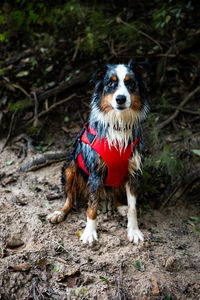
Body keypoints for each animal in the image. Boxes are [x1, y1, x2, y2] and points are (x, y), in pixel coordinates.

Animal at [47, 60, 150, 244]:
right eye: (111, 83)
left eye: (131, 83)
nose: (120, 98)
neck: (118, 125)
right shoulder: (95, 173)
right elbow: (92, 207)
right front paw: (89, 233)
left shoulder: (133, 172)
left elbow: (133, 208)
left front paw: (133, 230)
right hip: (70, 167)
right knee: (69, 199)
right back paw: (59, 213)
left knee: (114, 196)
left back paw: (120, 207)